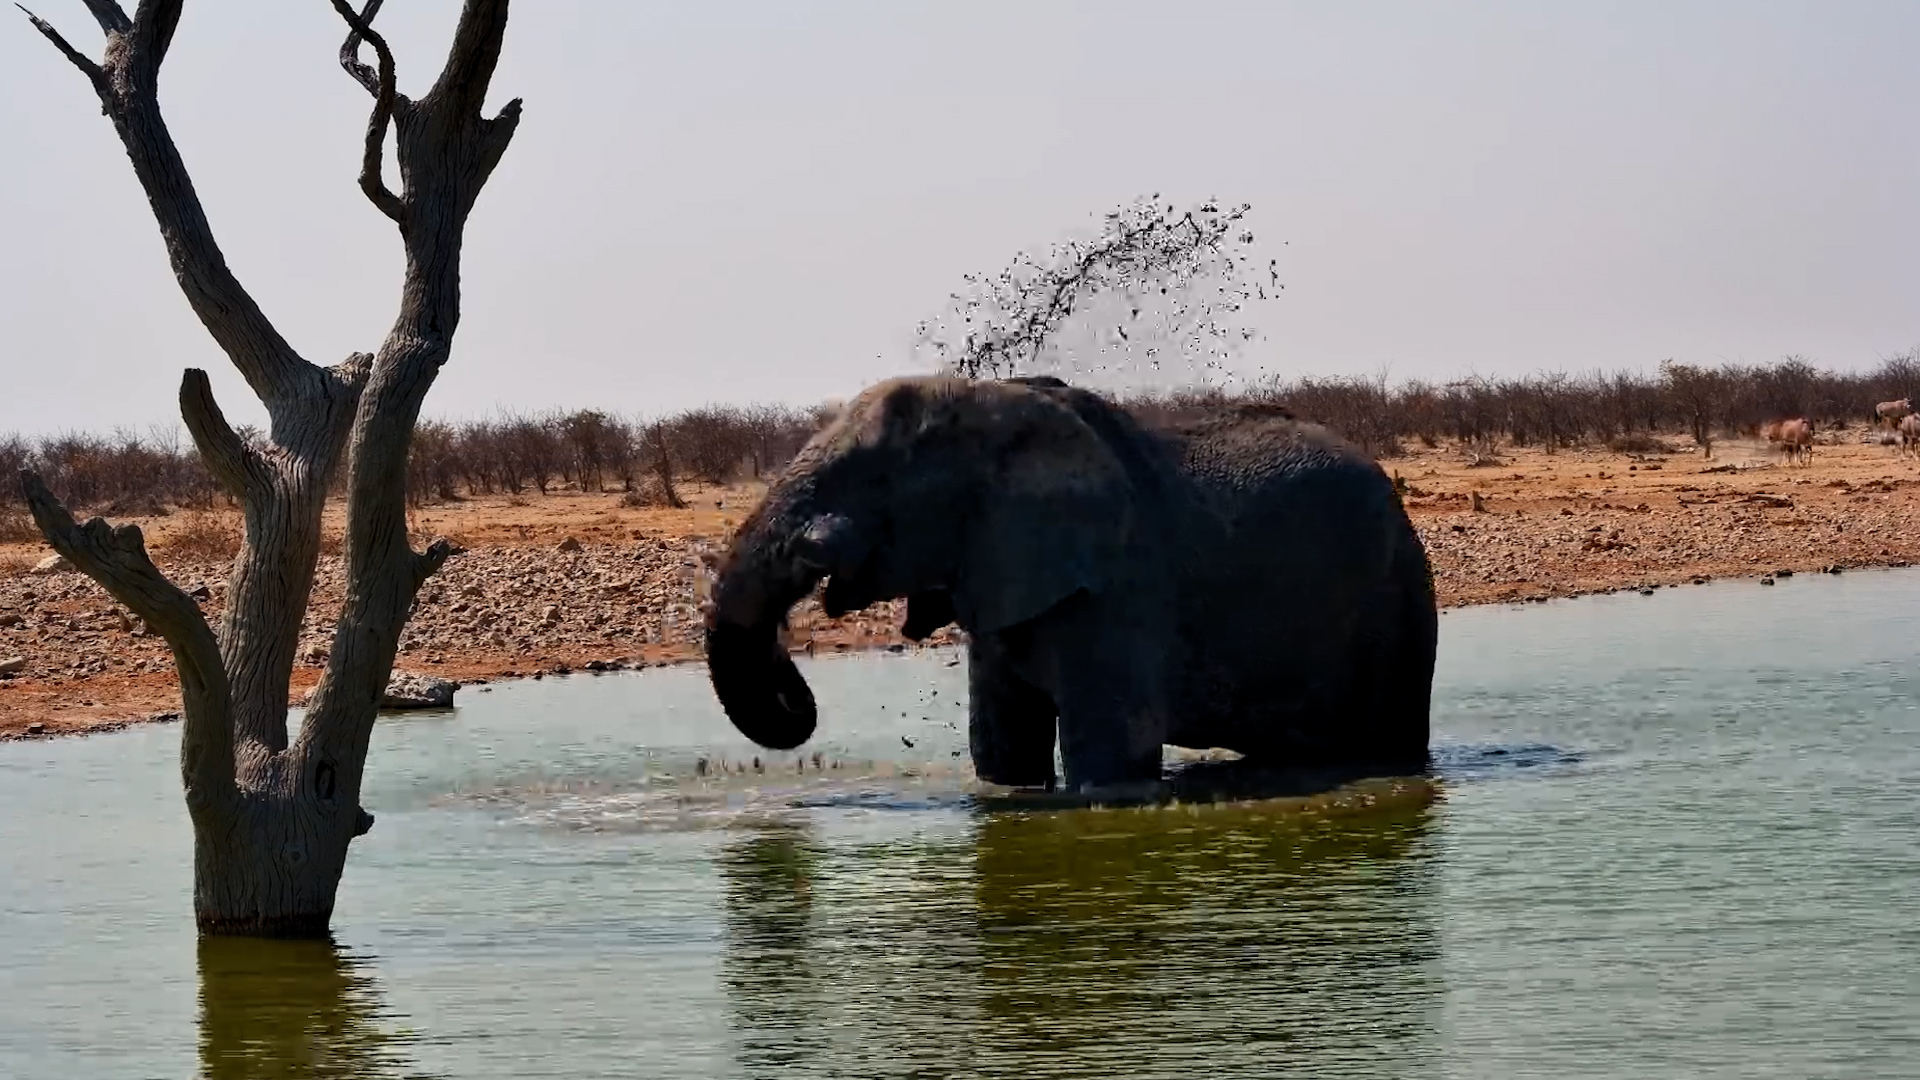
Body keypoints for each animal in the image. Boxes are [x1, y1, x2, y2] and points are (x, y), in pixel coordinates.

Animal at [704, 374, 1437, 794]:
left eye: (877, 478)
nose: (796, 692)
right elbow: (1003, 755)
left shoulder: (1120, 589)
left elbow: (1109, 766)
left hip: (1398, 602)